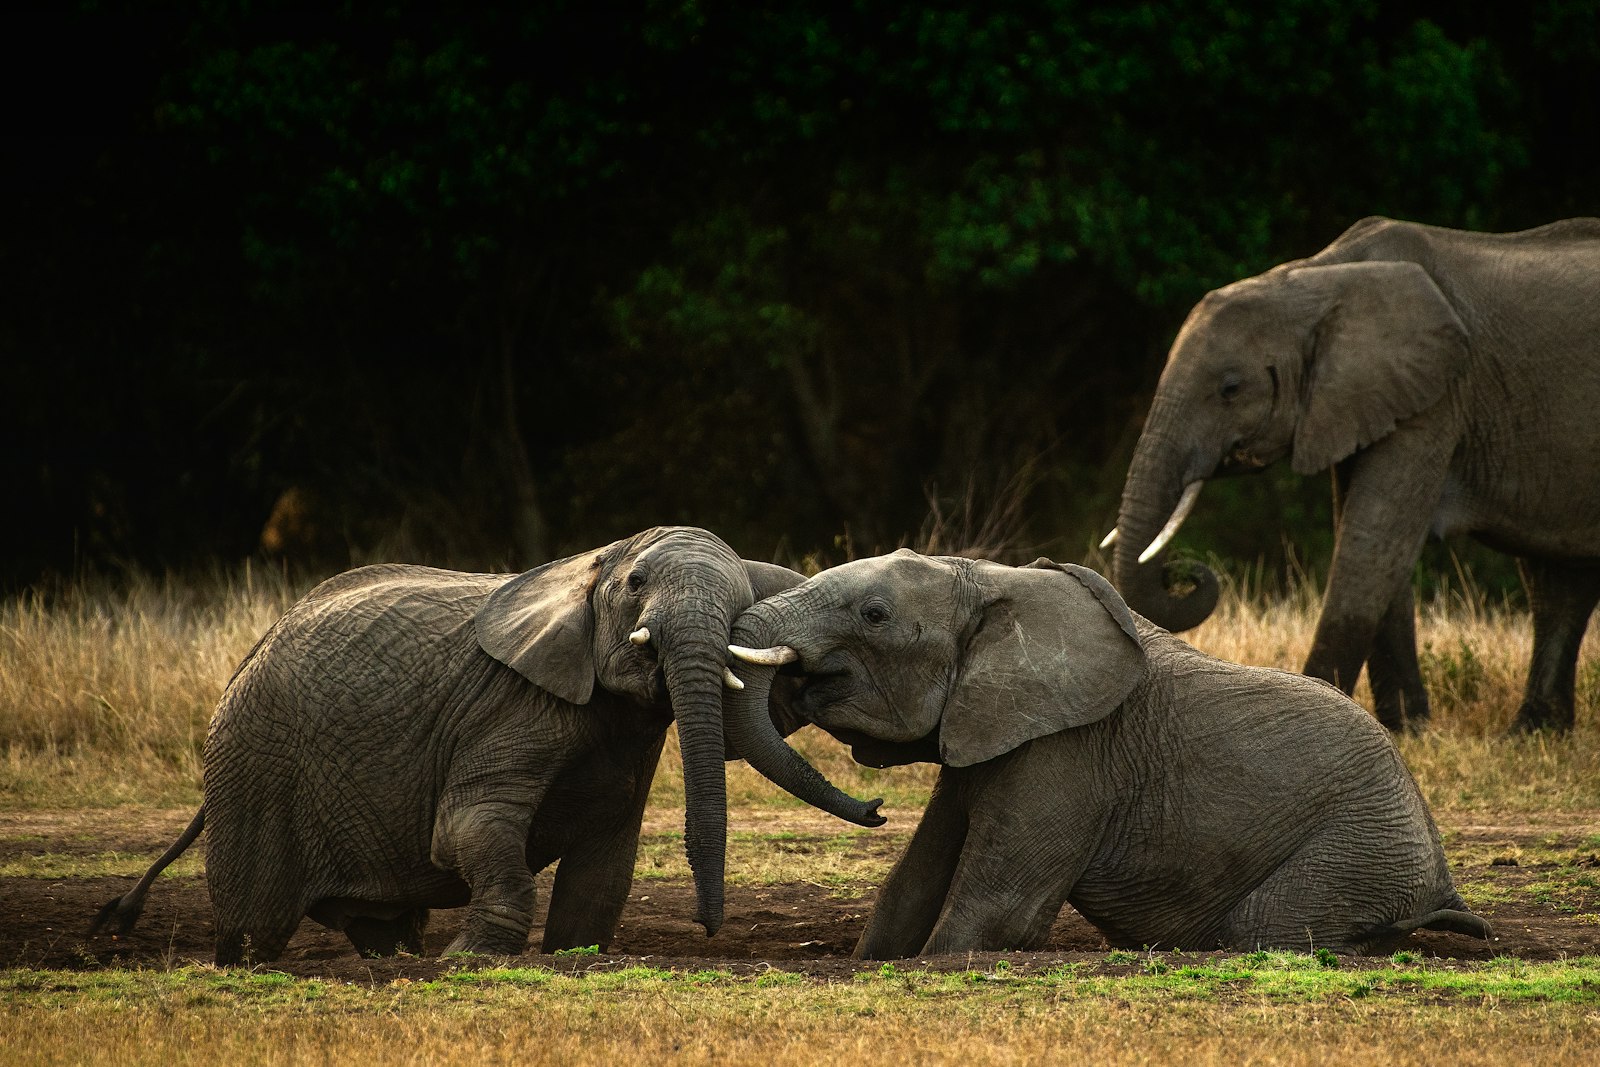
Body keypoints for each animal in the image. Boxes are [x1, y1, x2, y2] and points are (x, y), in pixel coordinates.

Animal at [89, 527, 883, 966]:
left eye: (745, 593)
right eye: (635, 584)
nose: (710, 927)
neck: (591, 564)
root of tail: (247, 658)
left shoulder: (625, 736)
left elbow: (605, 860)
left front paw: (571, 955)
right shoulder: (508, 705)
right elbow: (469, 826)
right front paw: (469, 958)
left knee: (376, 925)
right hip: (254, 765)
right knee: (255, 928)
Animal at [720, 550, 1491, 959]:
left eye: (874, 614)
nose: (876, 809)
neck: (992, 578)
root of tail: (1443, 879)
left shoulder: (1072, 751)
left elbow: (998, 912)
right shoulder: (990, 726)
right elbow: (911, 884)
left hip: (1358, 850)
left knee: (1265, 926)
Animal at [1107, 217, 1600, 735]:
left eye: (1231, 388)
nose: (1183, 572)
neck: (1315, 278)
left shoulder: (1436, 398)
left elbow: (1371, 540)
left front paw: (1324, 706)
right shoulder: (1361, 400)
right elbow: (1369, 537)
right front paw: (1407, 727)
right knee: (1561, 582)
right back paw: (1535, 730)